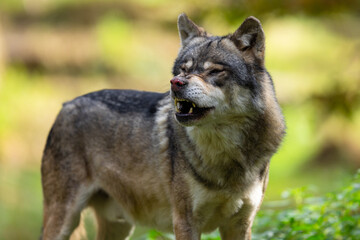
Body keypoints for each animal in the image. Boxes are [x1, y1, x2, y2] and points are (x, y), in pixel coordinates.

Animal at [40, 13, 286, 240]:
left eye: (214, 71)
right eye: (183, 70)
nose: (176, 83)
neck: (225, 154)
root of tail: (66, 105)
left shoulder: (240, 224)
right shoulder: (185, 221)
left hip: (119, 226)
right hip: (64, 220)